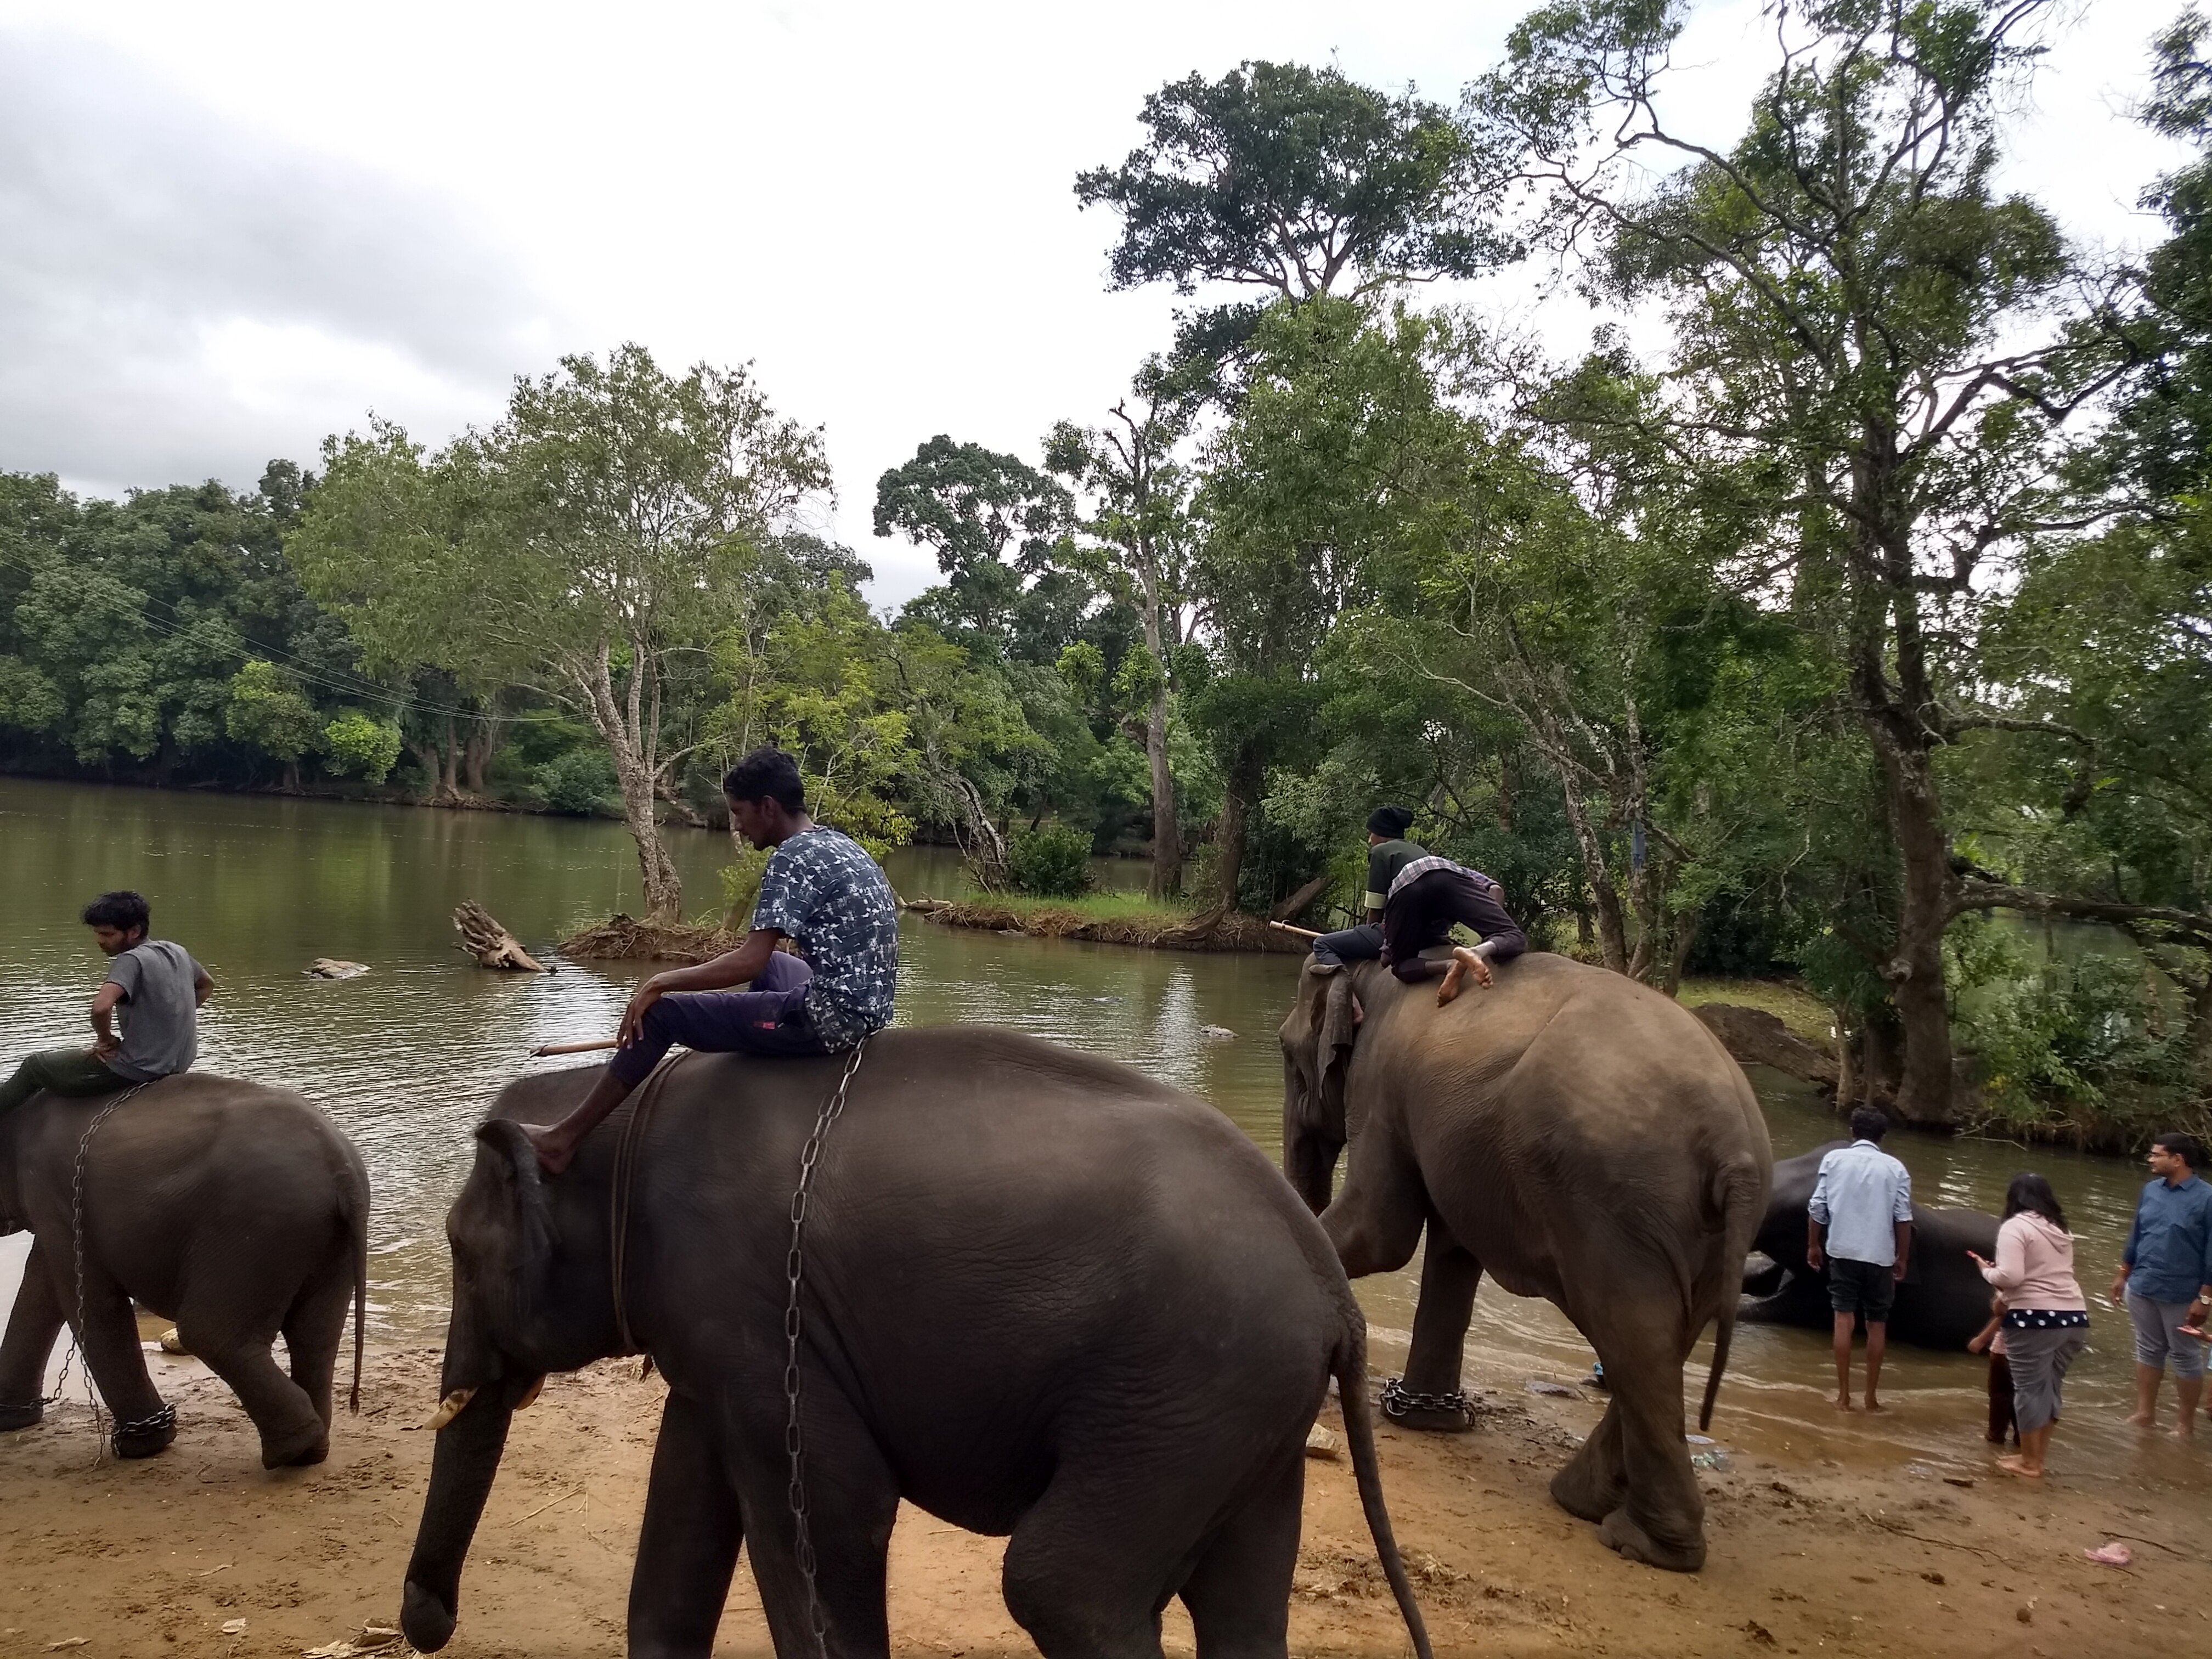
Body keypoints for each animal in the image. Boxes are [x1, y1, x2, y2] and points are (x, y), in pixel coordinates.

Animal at [0, 1070, 367, 1460]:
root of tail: (342, 1168)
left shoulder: (58, 1195)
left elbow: (87, 1299)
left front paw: (141, 1447)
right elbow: (43, 1285)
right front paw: (11, 1419)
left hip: (255, 1225)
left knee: (208, 1333)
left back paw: (294, 1450)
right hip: (321, 1238)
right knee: (316, 1335)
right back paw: (311, 1451)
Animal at [398, 1026, 1433, 1659]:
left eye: (461, 1251)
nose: (426, 1625)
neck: (629, 1105)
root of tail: (1333, 1294)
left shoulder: (755, 1308)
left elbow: (829, 1508)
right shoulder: (717, 1337)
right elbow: (688, 1501)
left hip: (1186, 1396)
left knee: (1062, 1584)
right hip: (1245, 1416)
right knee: (1241, 1603)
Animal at [1283, 955, 1760, 1575]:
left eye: (1287, 1052)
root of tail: (1737, 1149)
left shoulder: (1380, 1083)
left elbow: (1381, 1231)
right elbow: (1450, 1248)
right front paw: (1426, 1421)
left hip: (1613, 1207)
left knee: (1632, 1336)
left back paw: (1638, 1542)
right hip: (1698, 1234)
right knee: (1660, 1344)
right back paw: (1585, 1503)